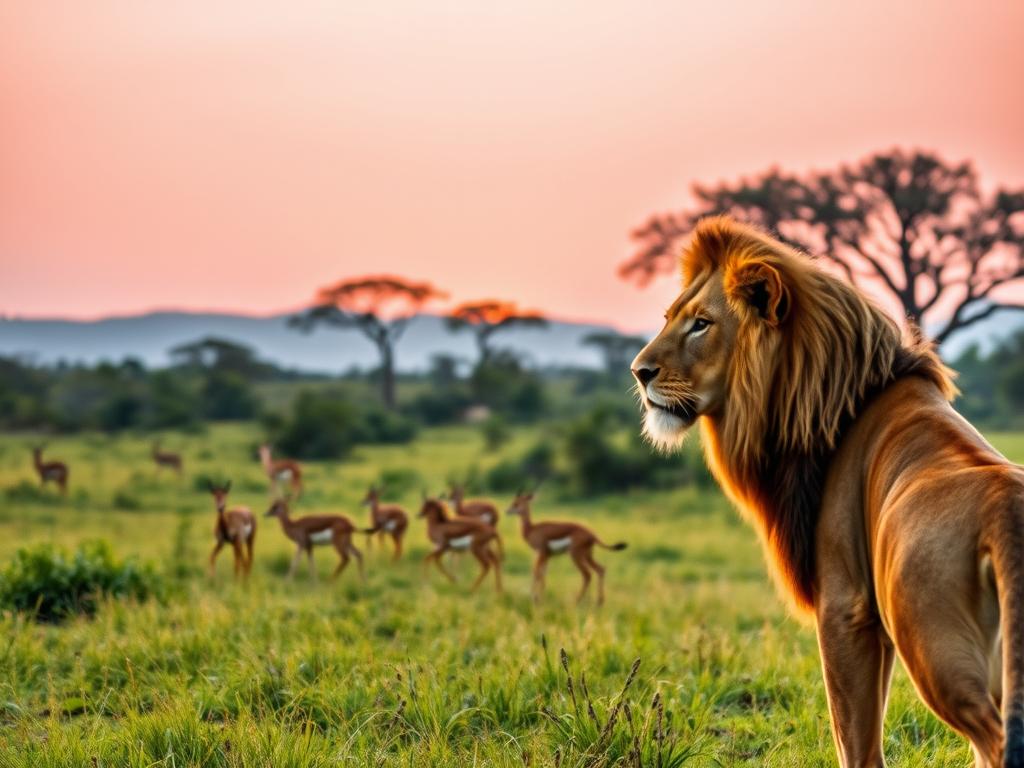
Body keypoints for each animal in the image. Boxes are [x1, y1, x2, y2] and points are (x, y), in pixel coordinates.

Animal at [631, 215, 1024, 768]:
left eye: (701, 324)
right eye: (670, 317)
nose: (638, 371)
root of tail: (1005, 517)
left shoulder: (844, 606)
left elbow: (853, 737)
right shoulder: (871, 620)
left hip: (934, 647)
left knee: (993, 740)